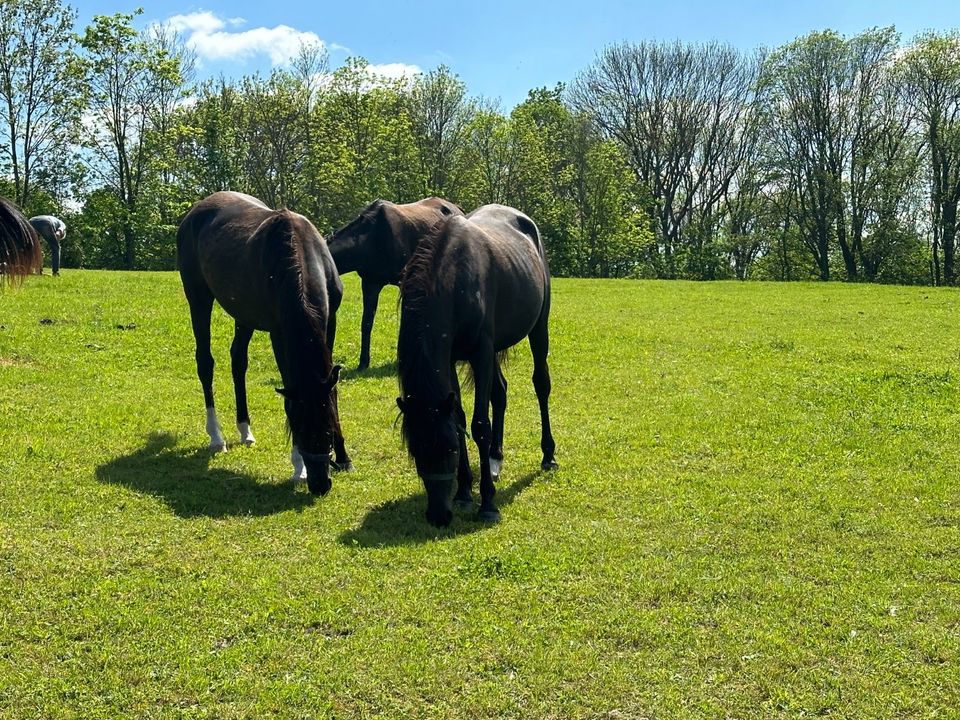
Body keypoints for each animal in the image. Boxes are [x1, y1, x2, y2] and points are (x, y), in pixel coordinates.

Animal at [177, 191, 352, 496]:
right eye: (298, 428)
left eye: (328, 429)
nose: (320, 484)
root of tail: (195, 212)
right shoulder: (279, 333)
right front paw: (298, 468)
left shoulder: (330, 322)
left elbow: (332, 391)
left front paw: (343, 457)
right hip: (198, 297)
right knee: (205, 362)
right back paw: (216, 437)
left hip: (243, 313)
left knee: (238, 361)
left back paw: (245, 430)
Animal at [396, 205, 560, 524]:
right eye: (416, 452)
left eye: (449, 449)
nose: (439, 515)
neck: (455, 280)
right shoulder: (450, 359)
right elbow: (459, 418)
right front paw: (463, 491)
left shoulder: (481, 353)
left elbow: (479, 424)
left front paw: (487, 504)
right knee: (501, 392)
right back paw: (495, 458)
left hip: (538, 328)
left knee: (541, 385)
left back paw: (548, 455)